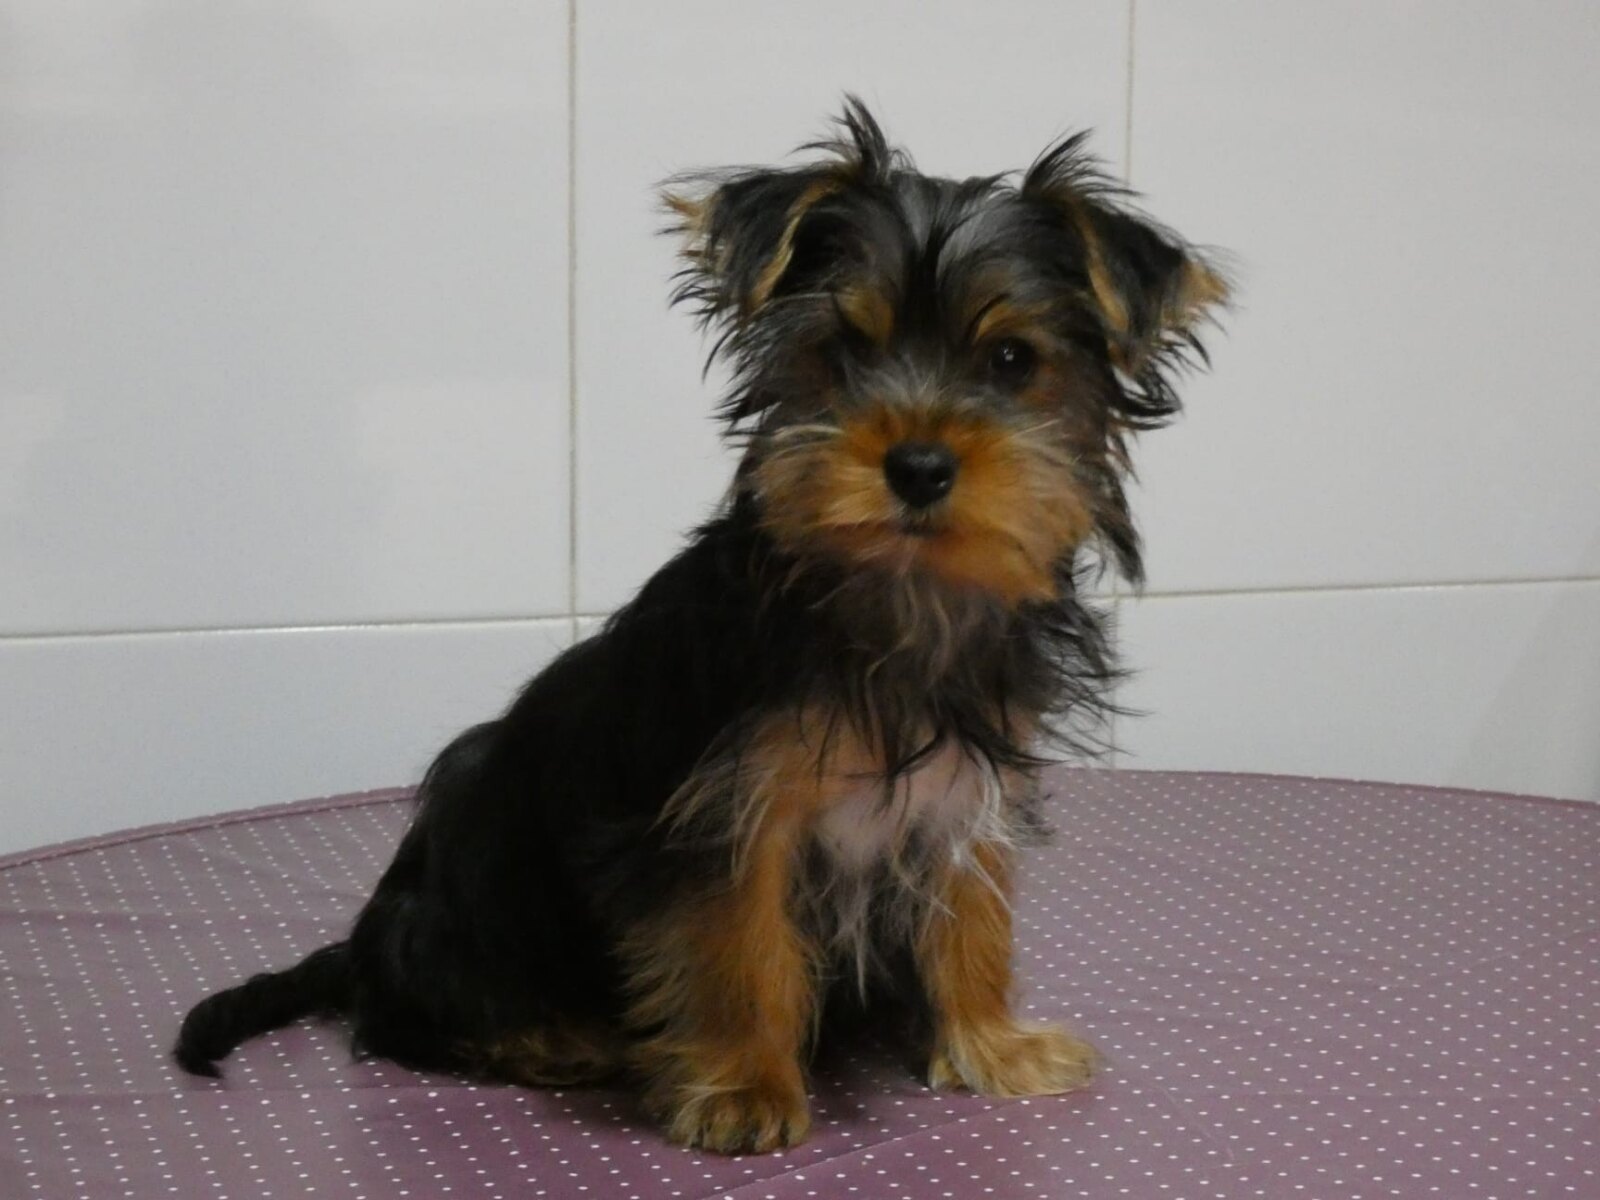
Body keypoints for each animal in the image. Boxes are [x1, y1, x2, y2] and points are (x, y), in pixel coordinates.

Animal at [175, 99, 1227, 1155]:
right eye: (844, 350)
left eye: (1014, 361)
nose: (920, 465)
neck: (892, 595)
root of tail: (361, 945)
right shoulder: (723, 814)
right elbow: (737, 944)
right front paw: (744, 1088)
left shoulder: (964, 790)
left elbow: (973, 915)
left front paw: (988, 1043)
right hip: (472, 864)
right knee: (412, 1012)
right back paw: (550, 1039)